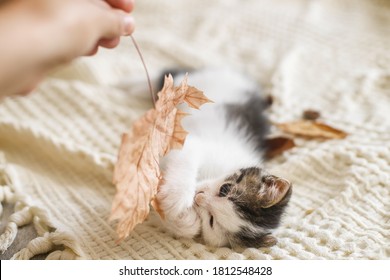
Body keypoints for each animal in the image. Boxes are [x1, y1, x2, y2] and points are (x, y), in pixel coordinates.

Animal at [154, 68, 290, 247]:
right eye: (225, 189)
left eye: (212, 221)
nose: (198, 197)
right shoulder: (192, 143)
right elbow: (186, 158)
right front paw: (176, 196)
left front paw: (185, 220)